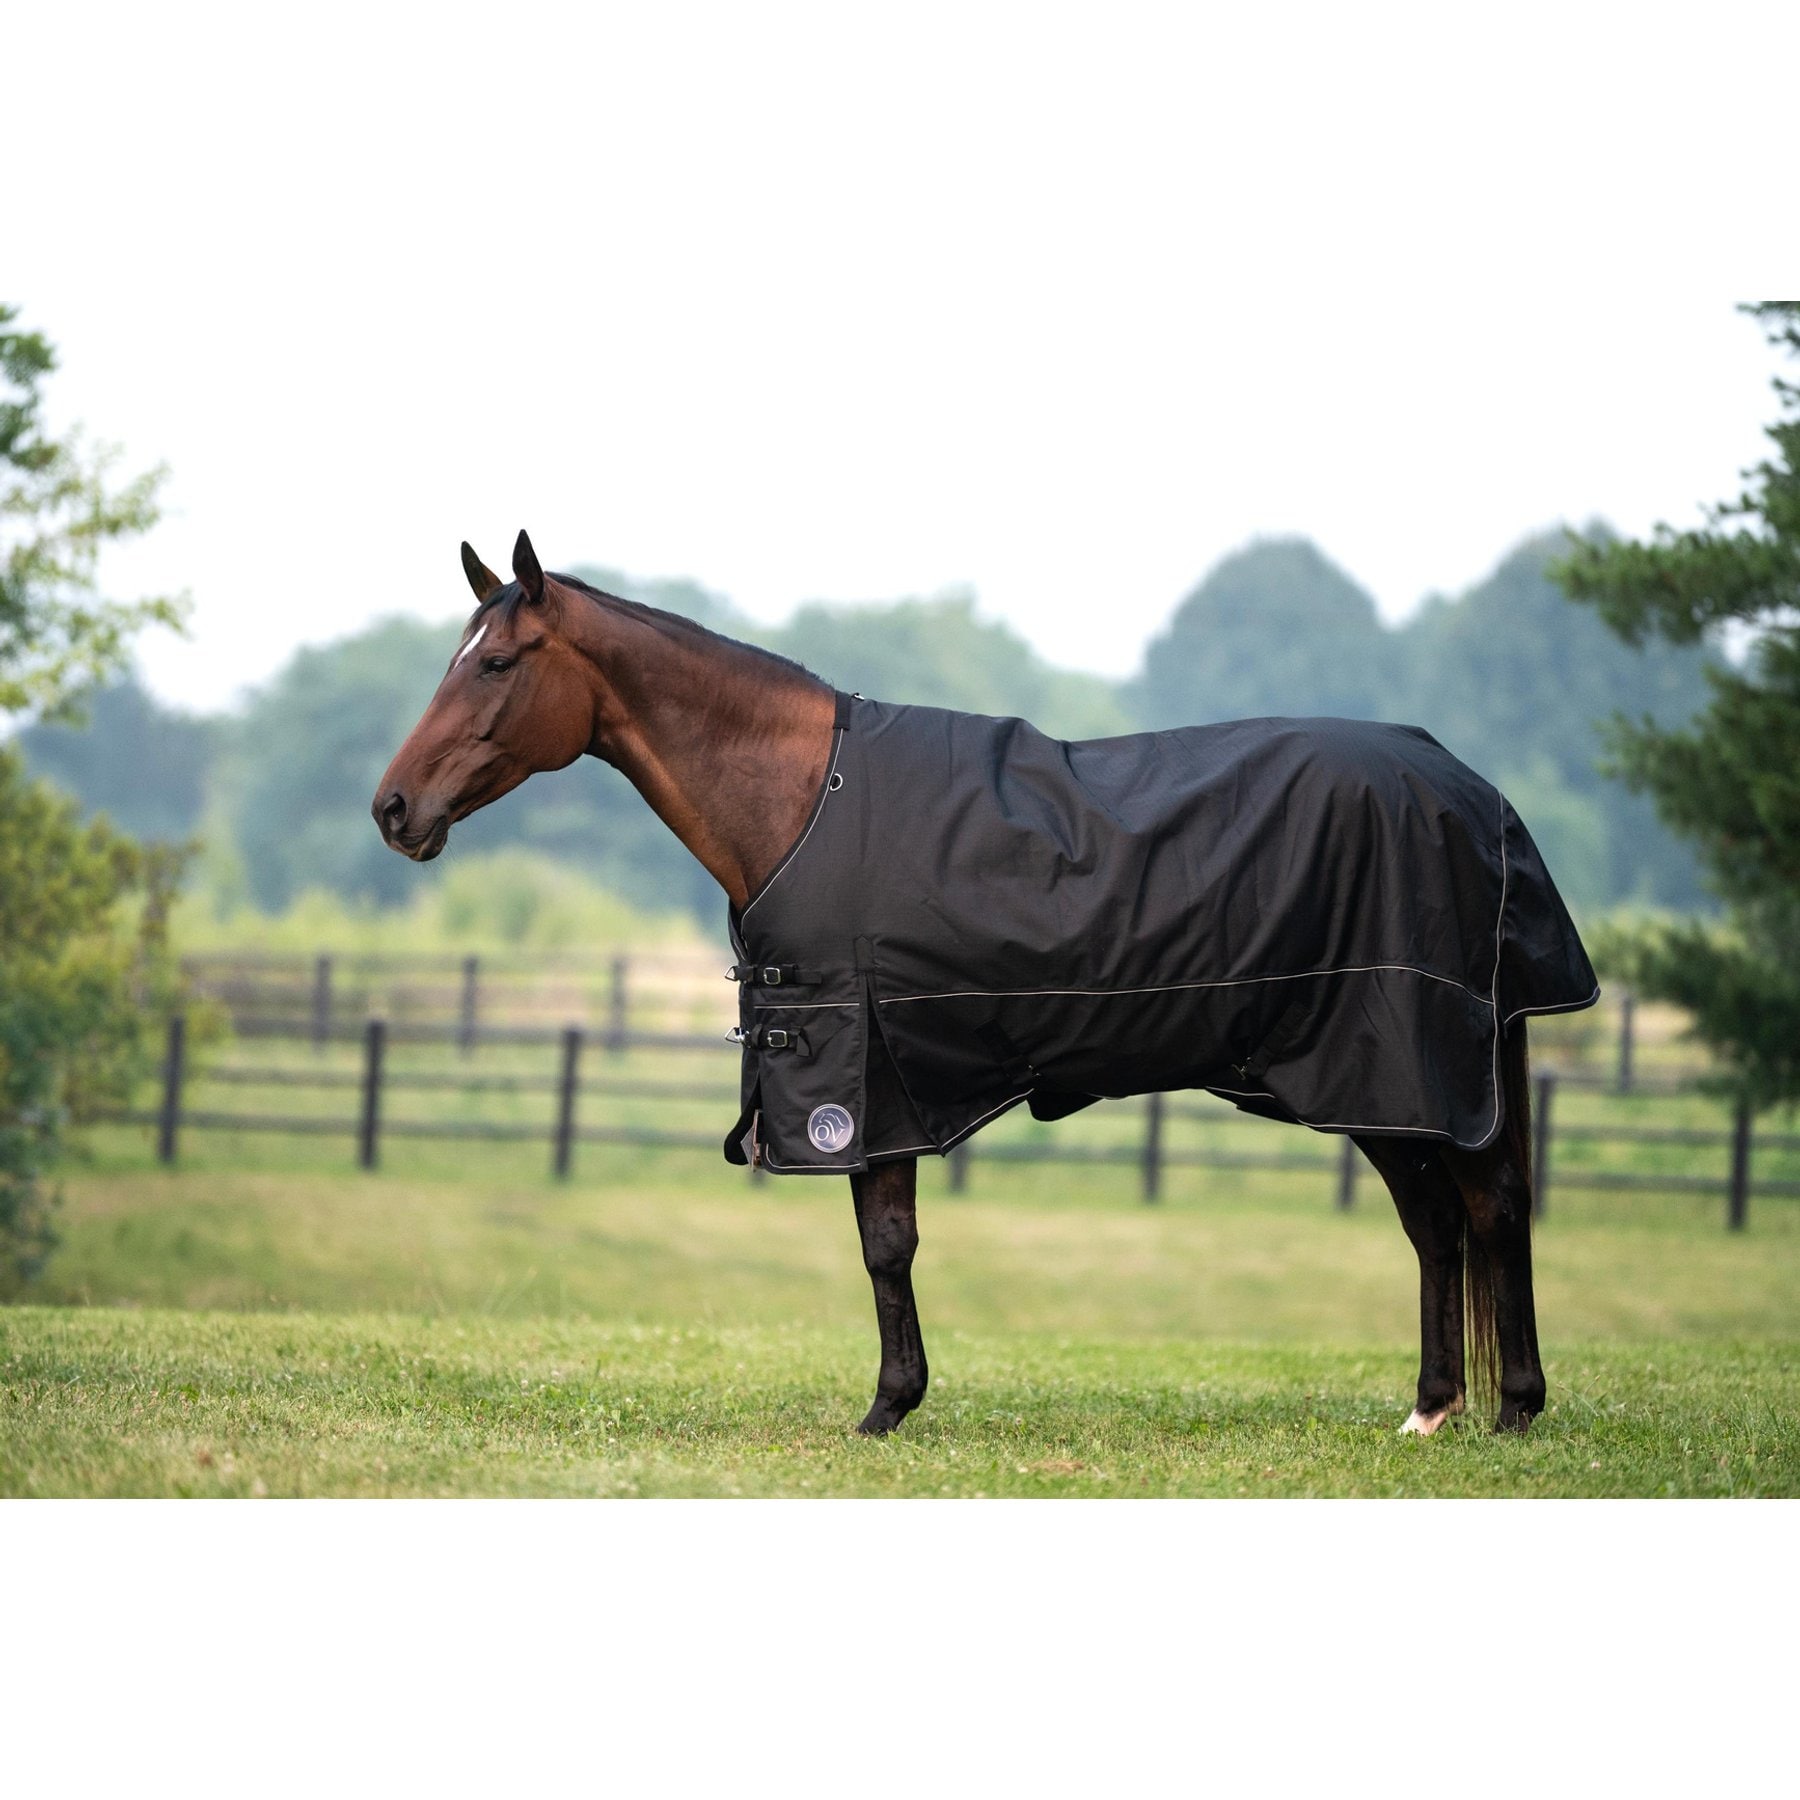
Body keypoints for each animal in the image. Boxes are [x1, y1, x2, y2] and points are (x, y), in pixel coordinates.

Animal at [375, 530, 1596, 1438]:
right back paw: (1432, 1409)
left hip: (1402, 1066)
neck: (802, 797)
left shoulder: (863, 1078)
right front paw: (897, 1401)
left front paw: (885, 1410)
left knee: (1487, 1206)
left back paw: (1509, 1412)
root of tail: (1474, 794)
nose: (393, 810)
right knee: (1437, 1224)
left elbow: (884, 1243)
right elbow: (890, 1242)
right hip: (1377, 1082)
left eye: (494, 663)